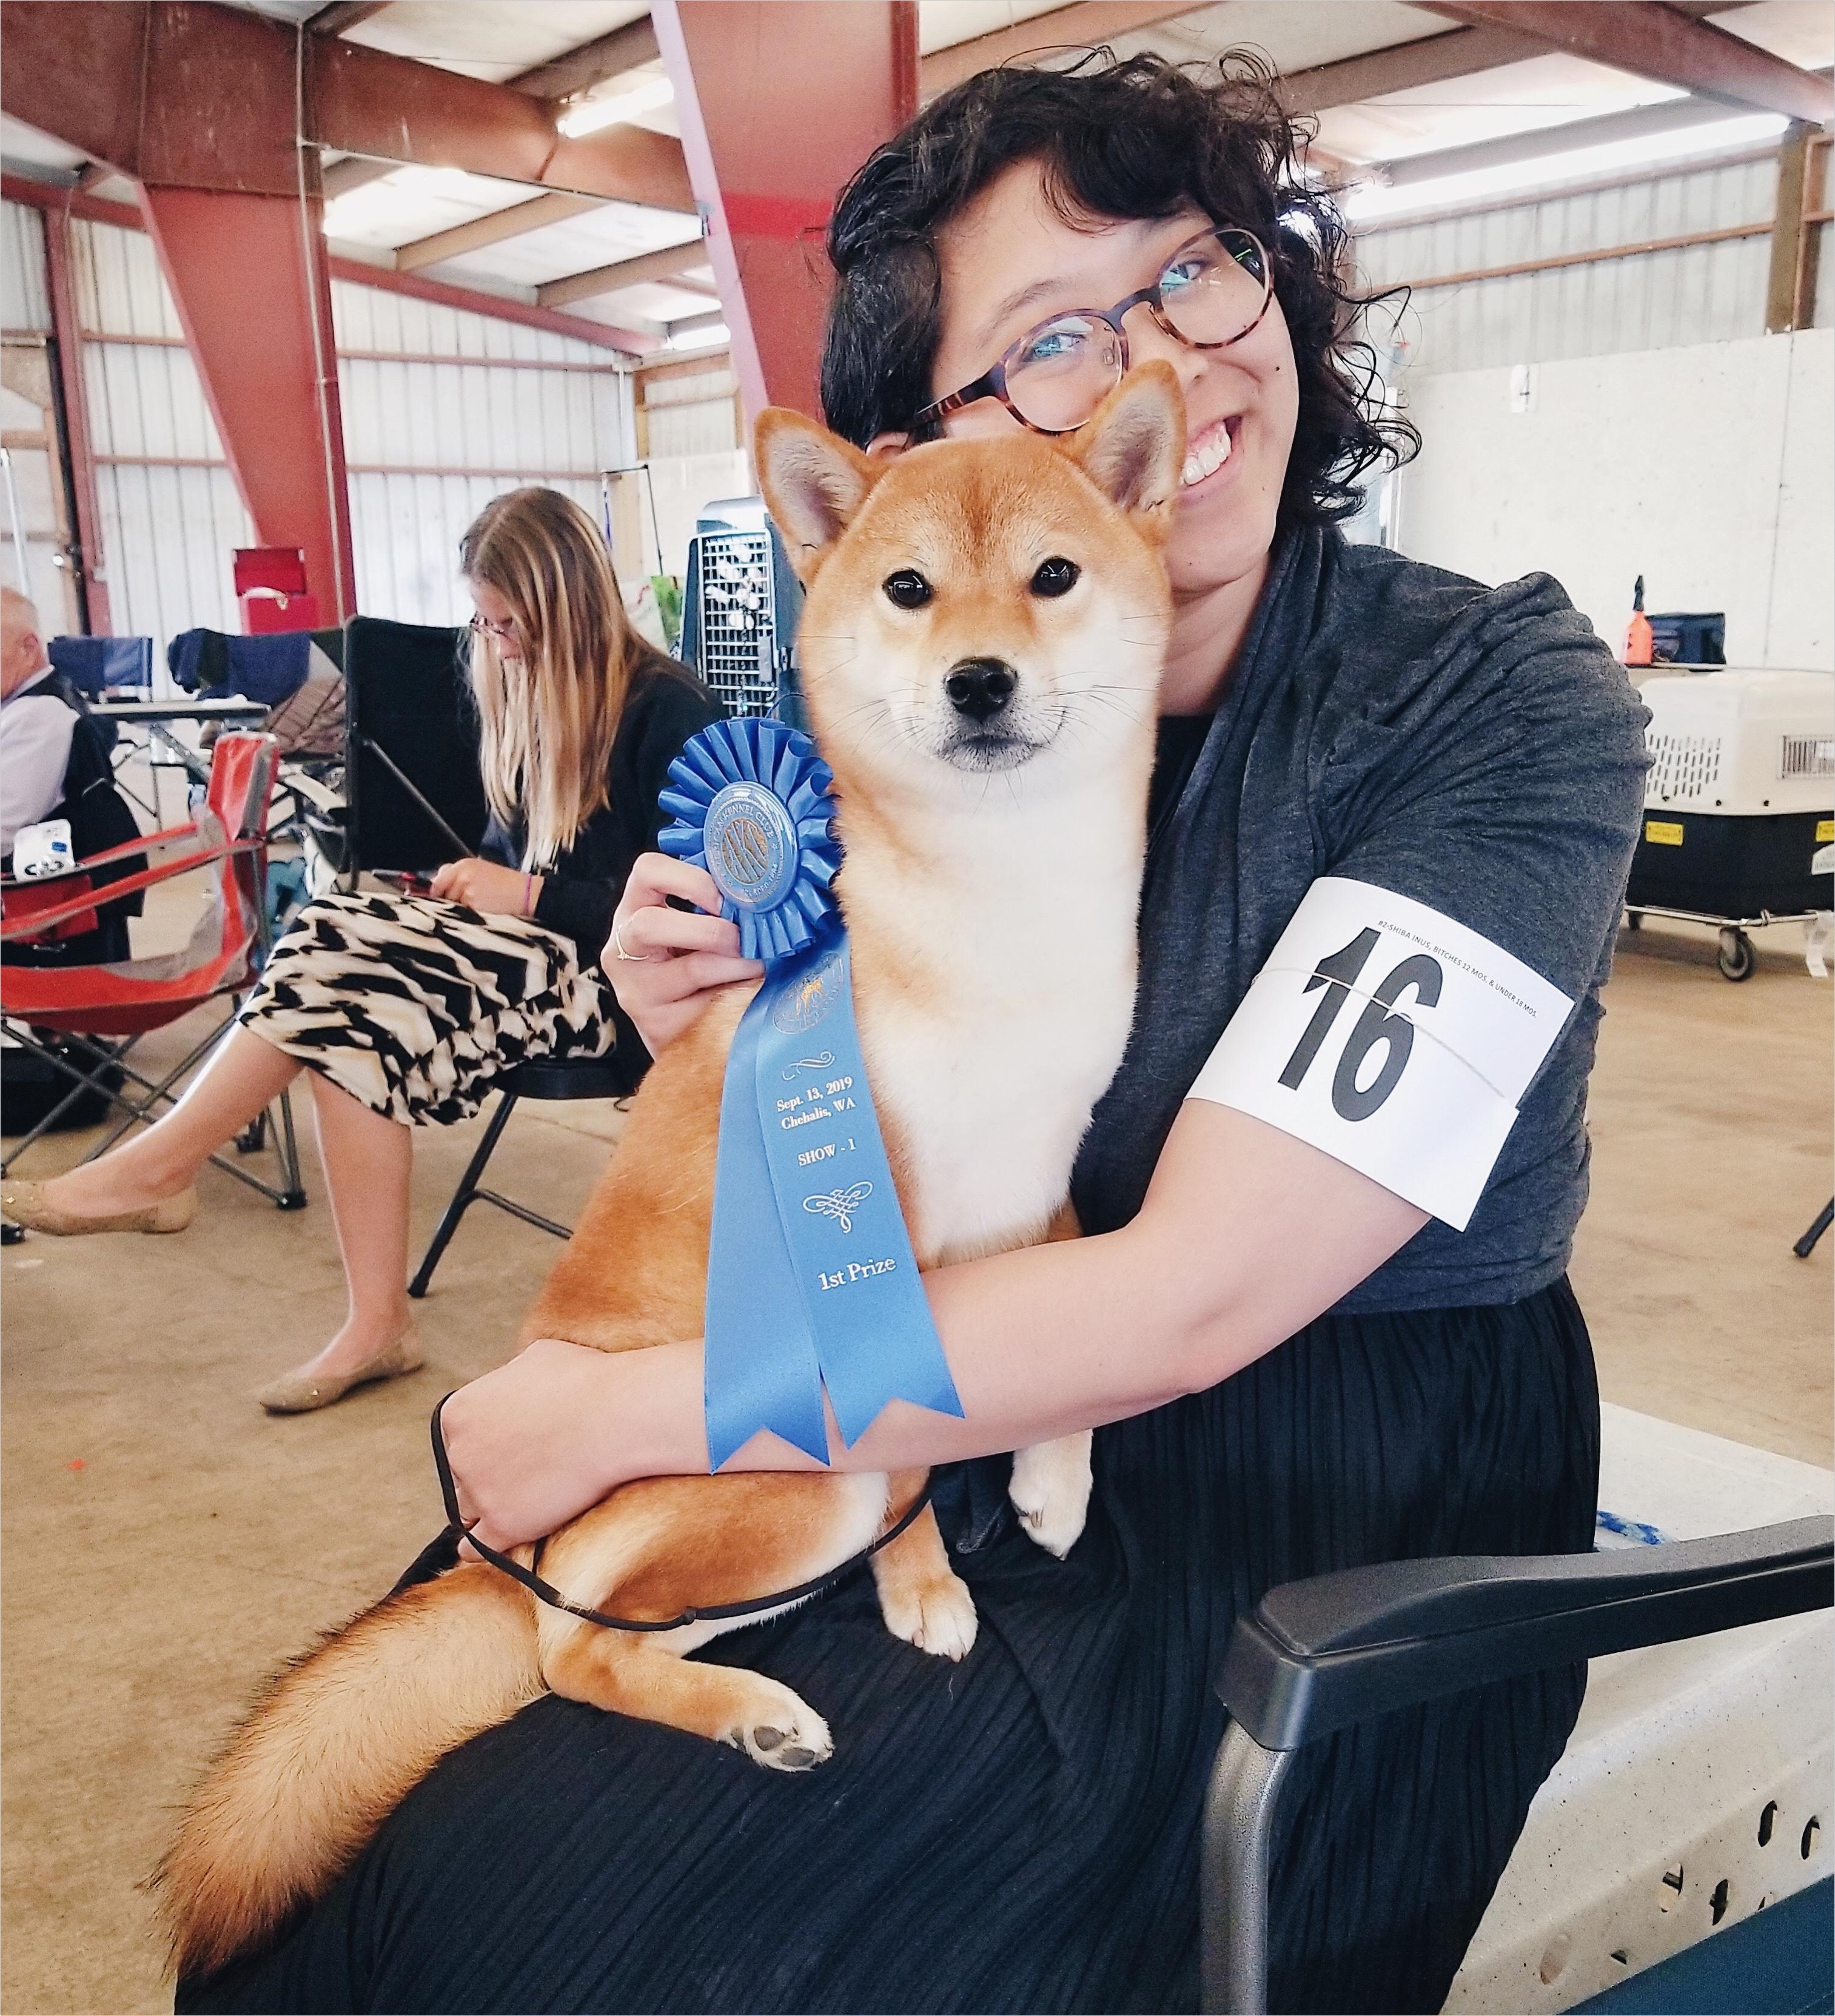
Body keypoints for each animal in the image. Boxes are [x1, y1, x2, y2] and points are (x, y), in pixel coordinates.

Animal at [161, 367, 1193, 1983]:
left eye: (1053, 577)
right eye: (908, 589)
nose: (978, 680)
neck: (989, 916)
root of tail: (509, 1547)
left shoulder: (1046, 1160)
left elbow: (1081, 1274)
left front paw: (1051, 1483)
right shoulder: (881, 1239)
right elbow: (915, 1451)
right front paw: (930, 1584)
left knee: (586, 1640)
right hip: (780, 1485)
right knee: (568, 1649)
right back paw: (756, 1714)